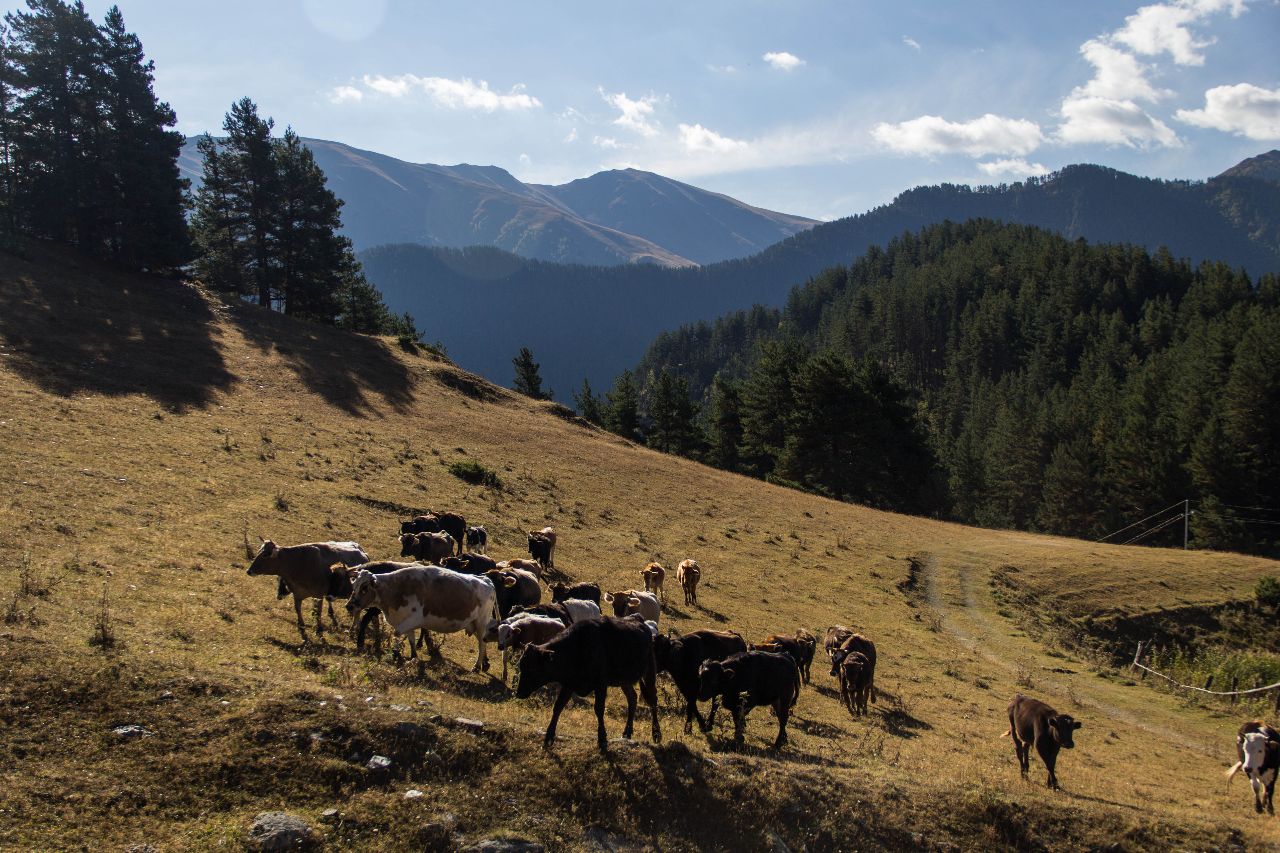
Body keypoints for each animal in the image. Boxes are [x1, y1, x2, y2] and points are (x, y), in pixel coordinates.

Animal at [517, 614, 665, 747]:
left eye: (532, 668)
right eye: (521, 666)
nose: (519, 693)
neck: (577, 648)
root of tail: (639, 621)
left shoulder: (601, 684)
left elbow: (599, 709)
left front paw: (602, 739)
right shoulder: (569, 684)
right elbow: (558, 706)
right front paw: (549, 736)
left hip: (649, 671)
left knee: (652, 700)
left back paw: (656, 733)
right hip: (624, 680)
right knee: (632, 698)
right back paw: (627, 732)